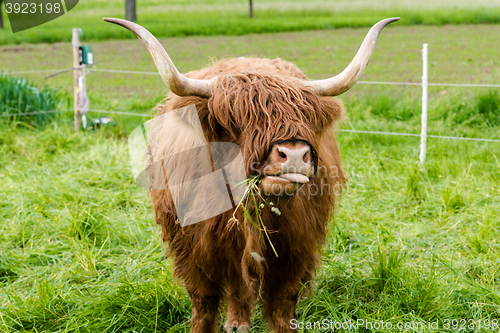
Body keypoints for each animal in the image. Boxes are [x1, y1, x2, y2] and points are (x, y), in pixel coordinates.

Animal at [104, 16, 398, 330]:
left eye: (305, 115)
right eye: (238, 118)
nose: (295, 155)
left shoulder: (296, 251)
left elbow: (282, 307)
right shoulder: (192, 251)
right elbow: (204, 303)